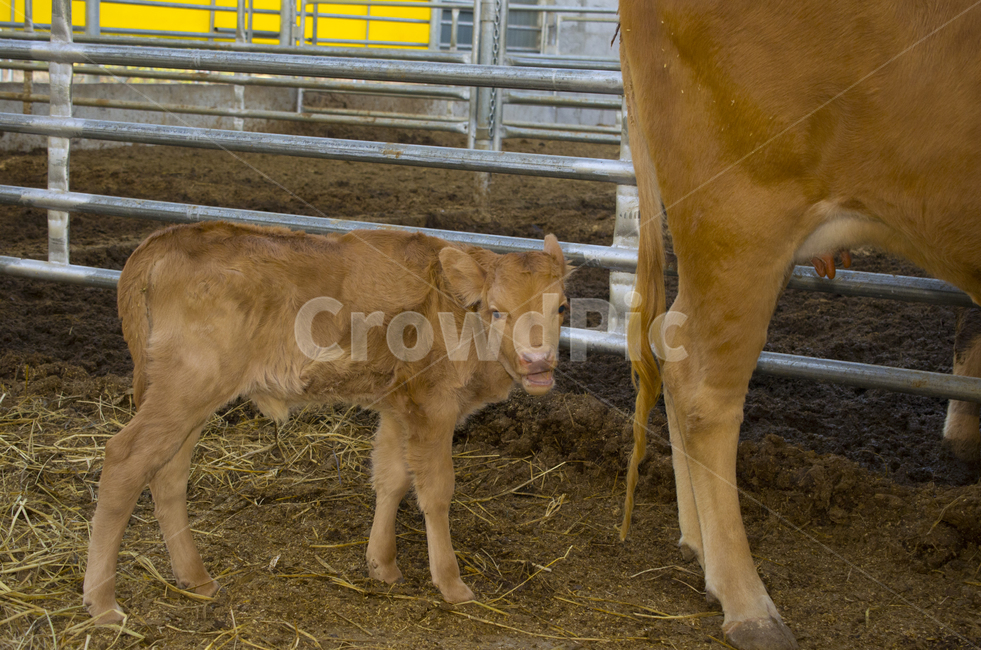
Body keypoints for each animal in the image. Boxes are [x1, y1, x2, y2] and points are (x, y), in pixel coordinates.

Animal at [82, 221, 568, 624]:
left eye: (561, 307)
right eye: (497, 310)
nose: (538, 361)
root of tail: (170, 236)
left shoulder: (398, 405)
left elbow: (391, 477)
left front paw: (382, 565)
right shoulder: (434, 406)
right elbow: (435, 491)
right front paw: (451, 583)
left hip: (188, 401)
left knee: (168, 474)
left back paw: (195, 578)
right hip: (186, 389)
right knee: (125, 459)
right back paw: (103, 604)